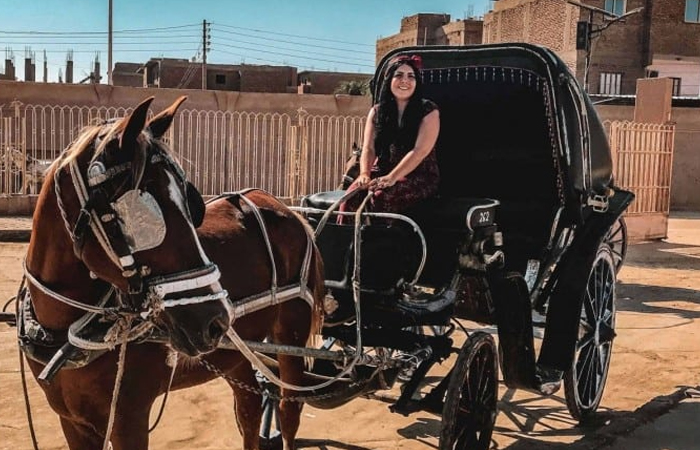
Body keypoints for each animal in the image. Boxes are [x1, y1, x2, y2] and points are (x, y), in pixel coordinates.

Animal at [21, 96, 326, 450]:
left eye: (189, 203)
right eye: (143, 216)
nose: (215, 320)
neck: (64, 332)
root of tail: (286, 209)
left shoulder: (128, 418)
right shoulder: (72, 422)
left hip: (291, 331)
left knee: (289, 411)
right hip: (235, 352)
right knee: (248, 409)